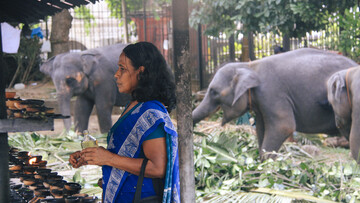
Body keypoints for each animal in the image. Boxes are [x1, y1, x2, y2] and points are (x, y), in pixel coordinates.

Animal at [193, 48, 356, 159]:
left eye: (214, 92)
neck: (248, 66)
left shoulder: (272, 93)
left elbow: (283, 126)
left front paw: (265, 167)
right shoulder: (261, 103)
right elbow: (261, 128)